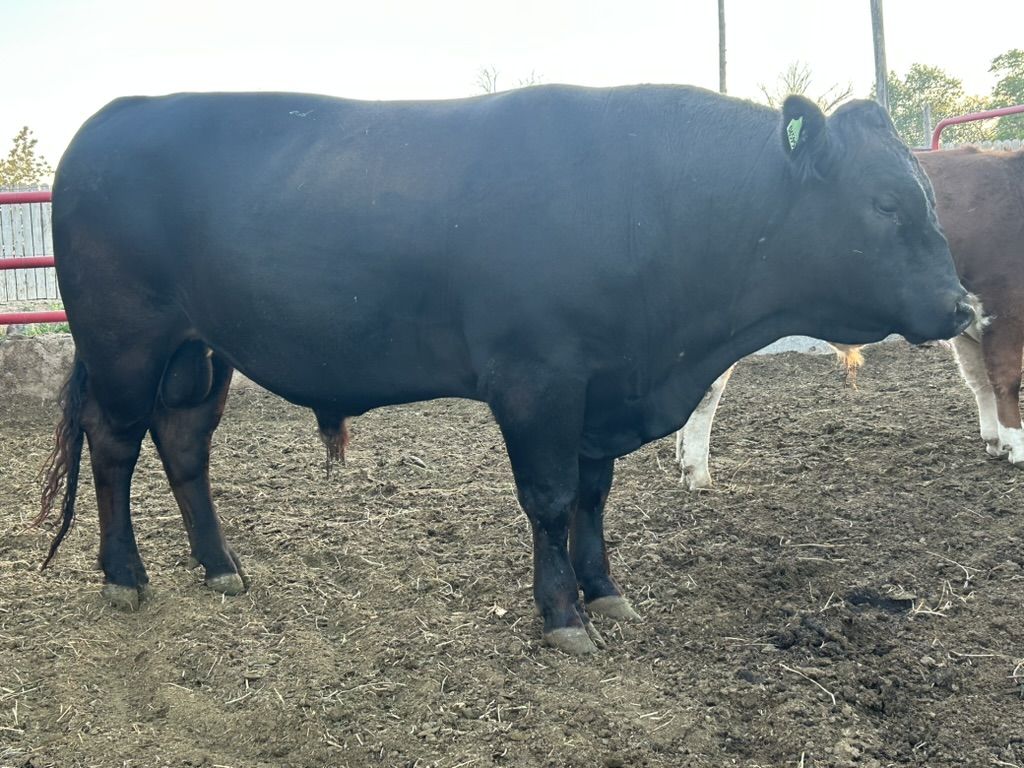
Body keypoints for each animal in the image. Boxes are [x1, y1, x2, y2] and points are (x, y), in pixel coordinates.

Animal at [39, 86, 974, 655]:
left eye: (929, 197)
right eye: (885, 205)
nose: (963, 305)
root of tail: (115, 114)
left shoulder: (602, 388)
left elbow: (594, 495)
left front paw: (604, 590)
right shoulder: (539, 380)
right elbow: (551, 499)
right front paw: (561, 614)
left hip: (201, 355)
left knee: (183, 446)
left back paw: (220, 566)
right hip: (125, 344)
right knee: (115, 450)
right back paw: (125, 577)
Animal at [674, 147, 1017, 491]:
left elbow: (979, 379)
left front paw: (995, 441)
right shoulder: (1003, 304)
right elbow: (1006, 378)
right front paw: (1016, 446)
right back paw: (697, 471)